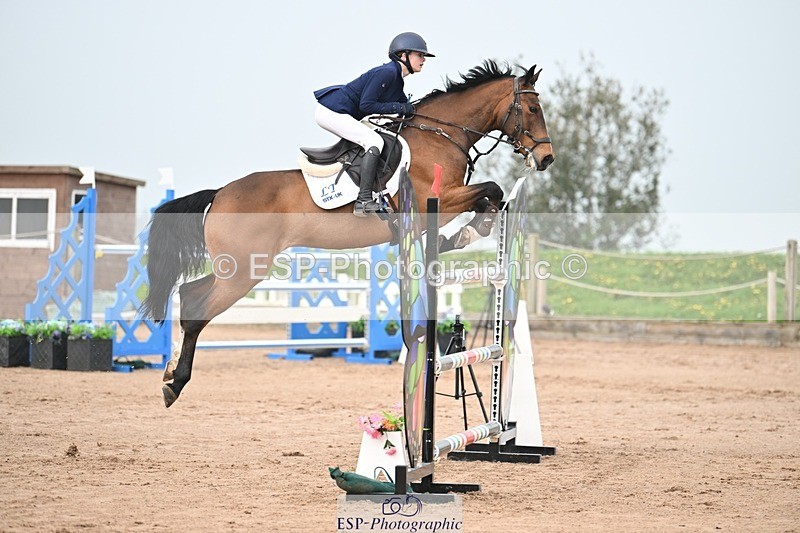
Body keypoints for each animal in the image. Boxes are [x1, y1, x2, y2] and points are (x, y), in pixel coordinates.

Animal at [141, 60, 554, 408]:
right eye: (533, 109)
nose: (546, 158)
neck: (441, 135)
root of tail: (220, 193)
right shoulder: (437, 199)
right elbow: (492, 190)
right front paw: (467, 232)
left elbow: (488, 199)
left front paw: (464, 234)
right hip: (243, 271)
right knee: (197, 312)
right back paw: (174, 383)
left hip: (233, 269)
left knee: (189, 293)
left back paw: (170, 374)